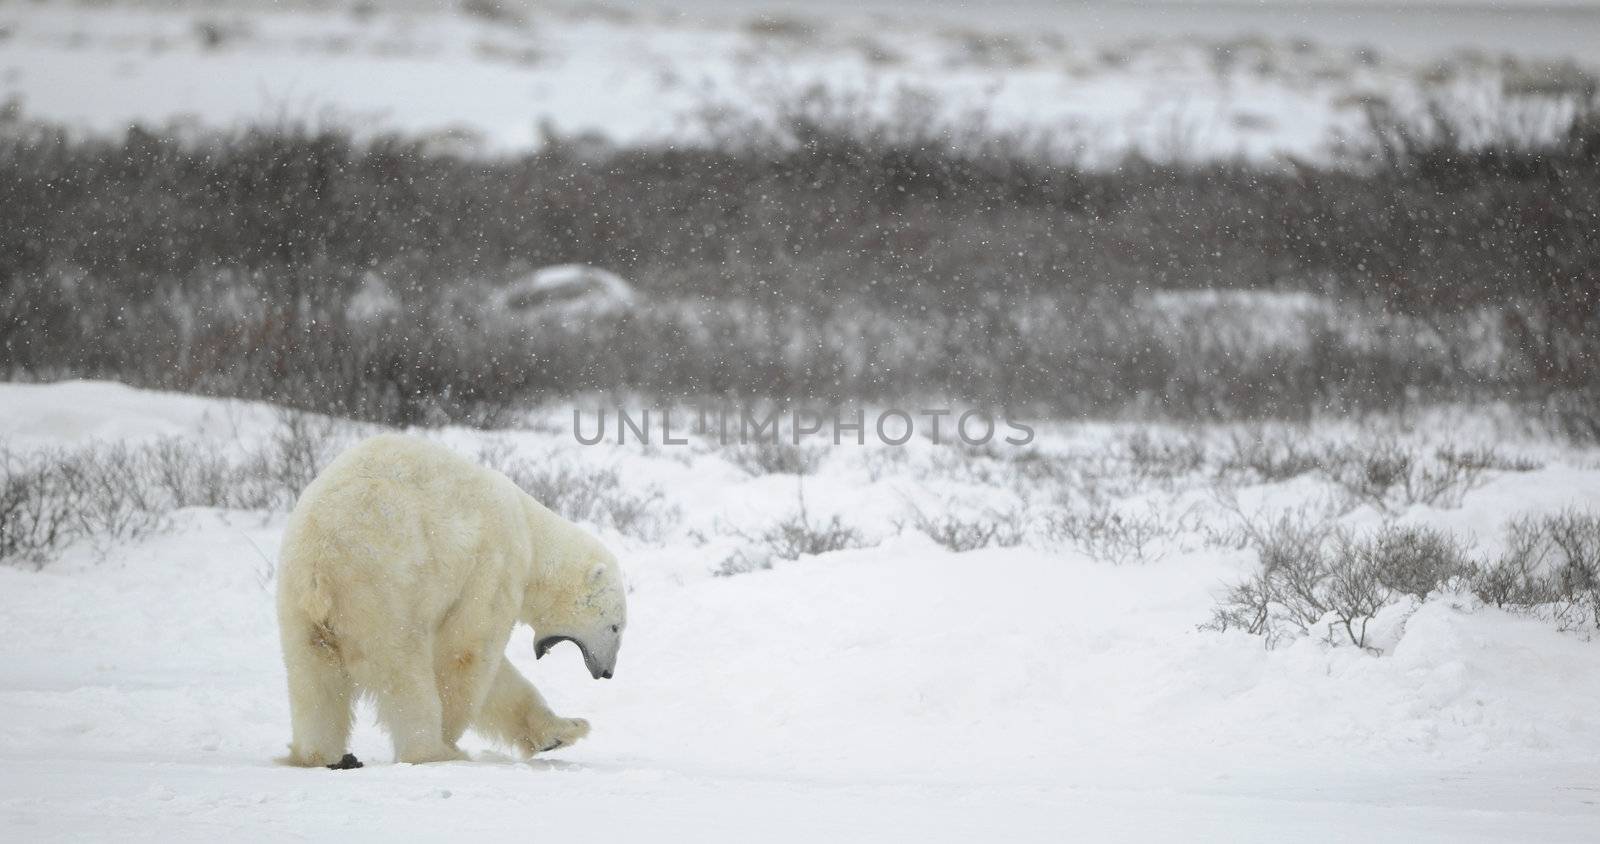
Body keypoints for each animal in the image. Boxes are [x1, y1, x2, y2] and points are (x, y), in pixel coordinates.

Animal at [275, 431, 624, 767]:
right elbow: (466, 651)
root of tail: (321, 566)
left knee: (313, 679)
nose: (608, 672)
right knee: (404, 672)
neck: (531, 535)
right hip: (383, 592)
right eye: (615, 627)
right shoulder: (494, 564)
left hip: (298, 603)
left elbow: (496, 676)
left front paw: (564, 730)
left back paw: (320, 755)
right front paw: (450, 731)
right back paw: (436, 751)